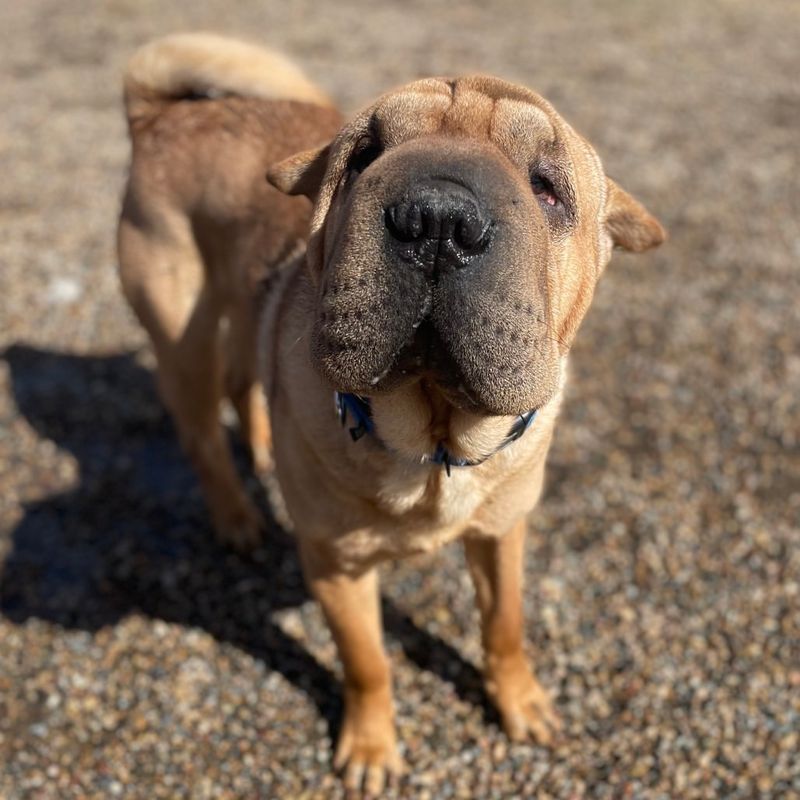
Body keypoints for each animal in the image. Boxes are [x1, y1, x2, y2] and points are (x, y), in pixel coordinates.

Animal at [119, 34, 664, 796]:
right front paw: (371, 749)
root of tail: (159, 116)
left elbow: (505, 625)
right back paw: (237, 519)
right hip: (180, 335)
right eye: (362, 157)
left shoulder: (503, 531)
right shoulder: (337, 567)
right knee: (201, 433)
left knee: (242, 383)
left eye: (548, 187)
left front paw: (520, 703)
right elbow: (368, 663)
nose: (437, 217)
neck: (434, 441)